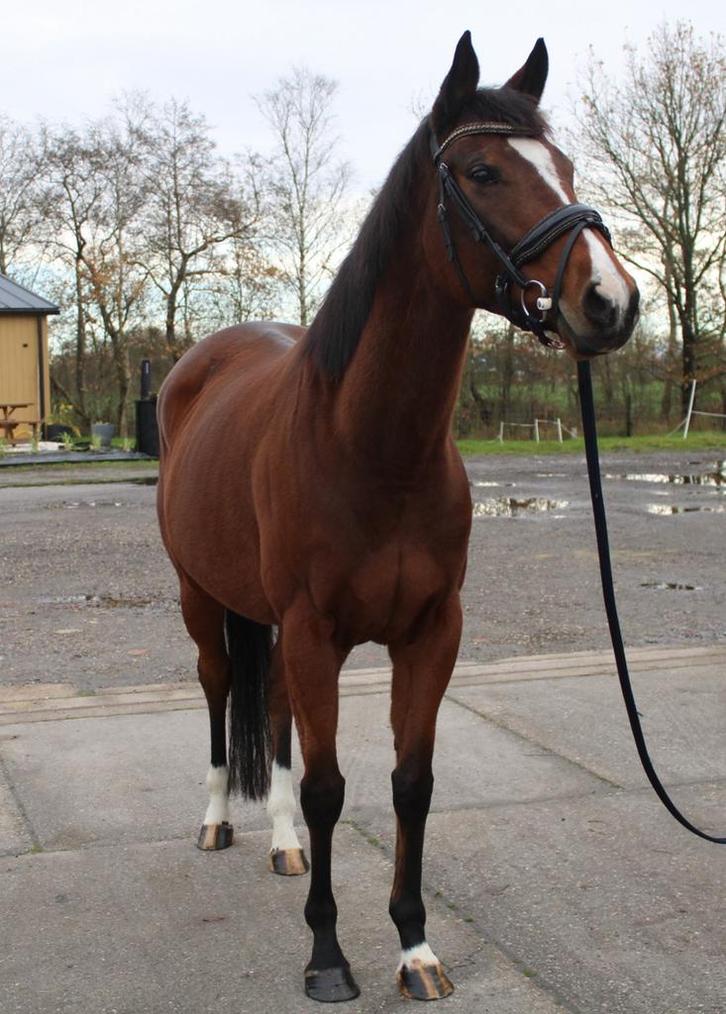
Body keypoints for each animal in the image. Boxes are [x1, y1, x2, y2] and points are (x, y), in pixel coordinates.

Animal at [156, 31, 639, 1004]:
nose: (610, 302)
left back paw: (283, 847)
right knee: (222, 691)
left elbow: (409, 783)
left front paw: (414, 947)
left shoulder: (430, 632)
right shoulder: (315, 633)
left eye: (566, 167)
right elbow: (332, 789)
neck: (372, 447)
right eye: (485, 171)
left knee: (276, 715)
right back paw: (218, 821)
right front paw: (328, 957)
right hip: (200, 597)